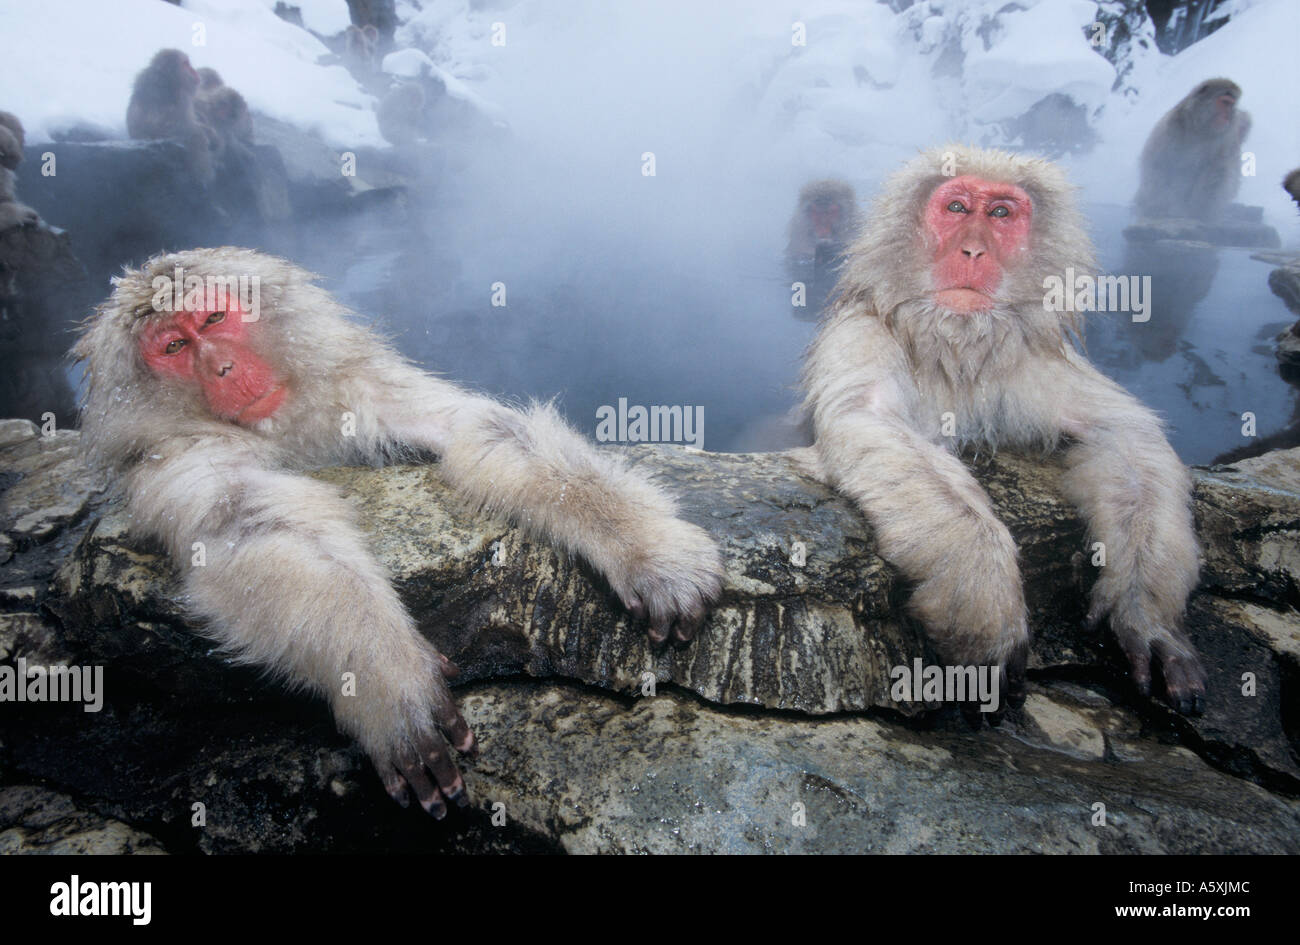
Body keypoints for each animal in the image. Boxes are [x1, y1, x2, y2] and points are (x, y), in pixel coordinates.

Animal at [76, 248, 728, 816]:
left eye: (213, 317)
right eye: (174, 346)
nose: (223, 368)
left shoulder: (355, 386)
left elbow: (477, 428)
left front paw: (647, 548)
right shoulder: (176, 457)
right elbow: (248, 523)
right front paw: (385, 679)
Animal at [800, 144, 1206, 712]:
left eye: (1000, 214)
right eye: (956, 208)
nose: (973, 250)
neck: (957, 347)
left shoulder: (1033, 358)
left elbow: (1125, 436)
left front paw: (1146, 614)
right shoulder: (863, 335)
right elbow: (867, 418)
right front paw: (985, 598)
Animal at [1138, 77, 1248, 223]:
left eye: (1232, 105)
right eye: (1225, 102)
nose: (1228, 115)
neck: (1201, 129)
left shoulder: (1227, 138)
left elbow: (1218, 170)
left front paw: (1200, 212)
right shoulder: (1172, 127)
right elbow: (1161, 165)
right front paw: (1172, 210)